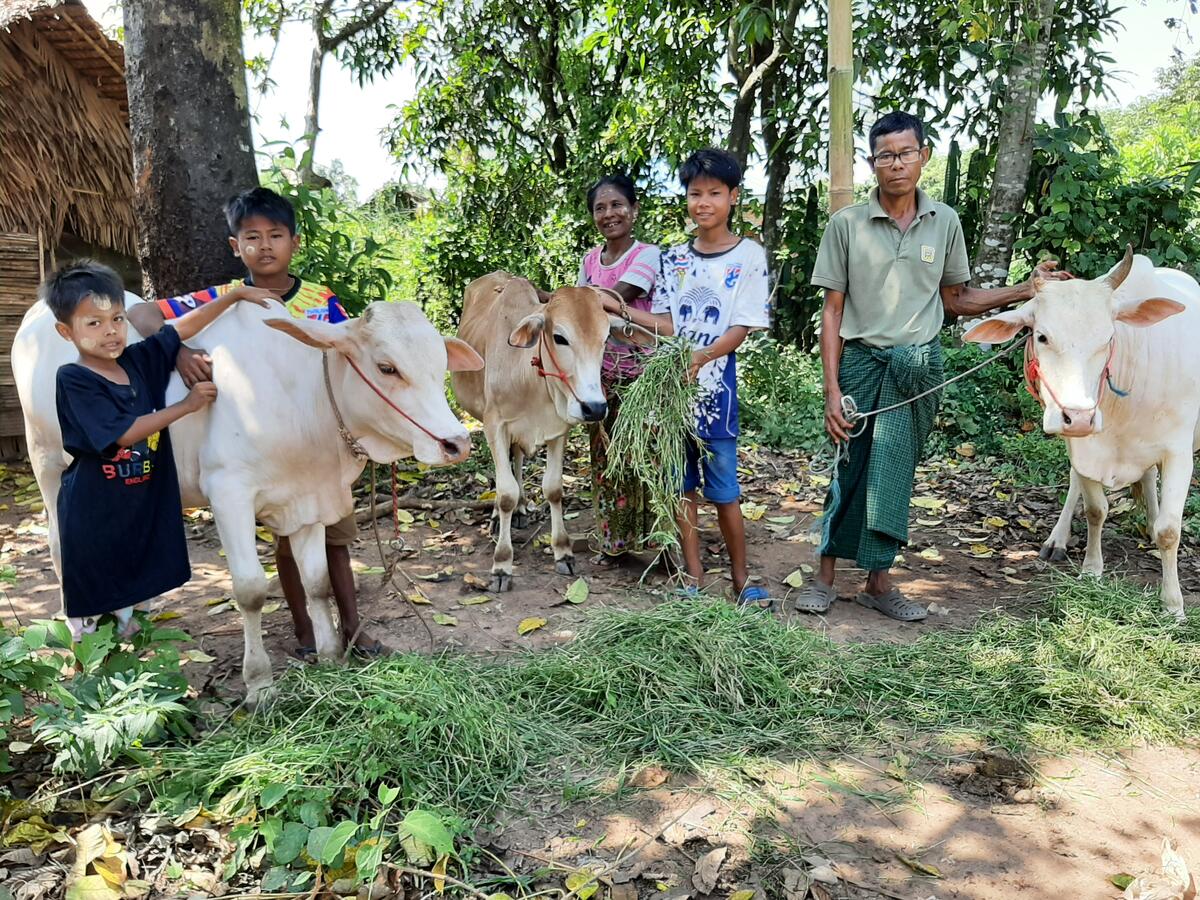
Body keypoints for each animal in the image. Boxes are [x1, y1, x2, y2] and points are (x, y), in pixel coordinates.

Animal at [14, 297, 482, 705]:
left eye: (440, 365)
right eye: (387, 368)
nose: (456, 443)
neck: (303, 398)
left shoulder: (308, 501)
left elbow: (318, 583)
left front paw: (331, 659)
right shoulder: (229, 495)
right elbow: (252, 591)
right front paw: (259, 686)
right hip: (47, 464)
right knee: (60, 549)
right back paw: (83, 637)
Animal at [964, 250, 1200, 624]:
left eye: (1108, 338)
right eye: (1041, 337)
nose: (1078, 416)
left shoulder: (1178, 452)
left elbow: (1169, 530)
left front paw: (1173, 605)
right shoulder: (1085, 448)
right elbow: (1095, 510)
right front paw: (1091, 569)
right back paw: (1057, 540)